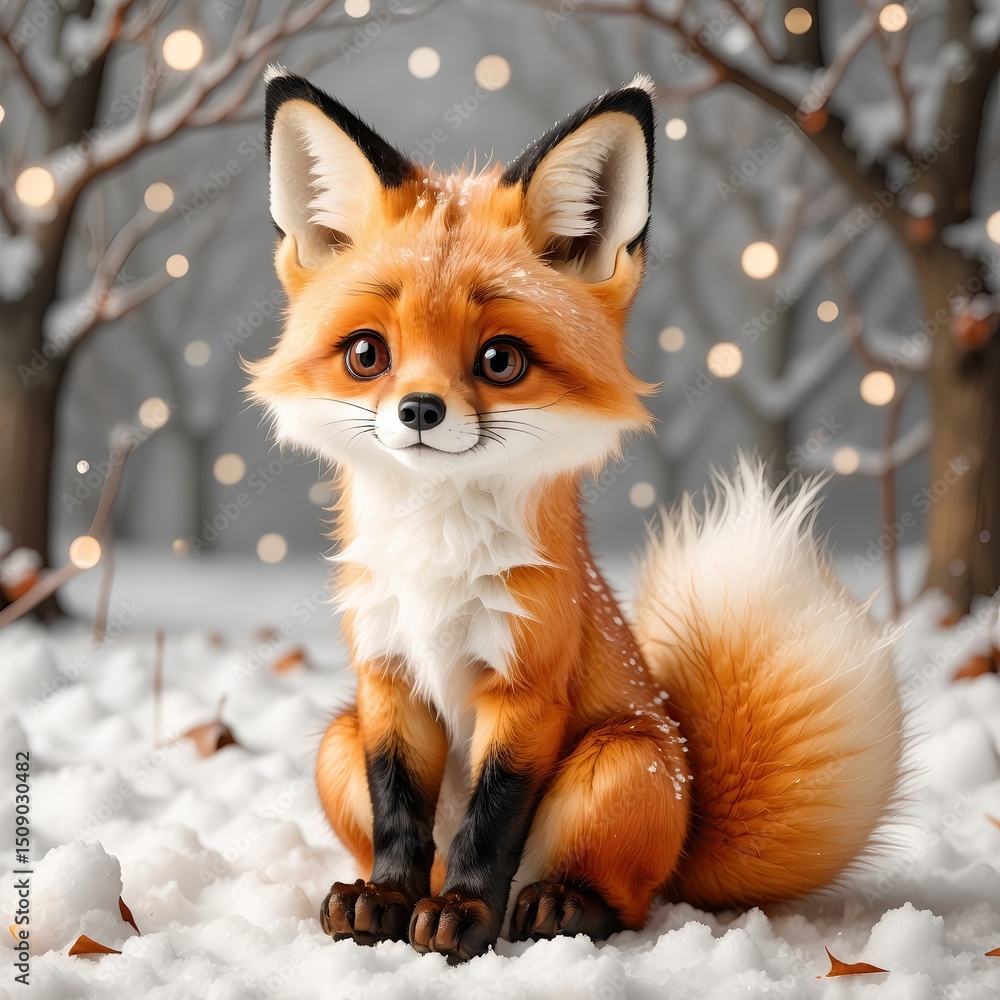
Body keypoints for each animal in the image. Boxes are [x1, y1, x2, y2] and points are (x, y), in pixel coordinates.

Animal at [248, 67, 904, 962]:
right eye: (366, 354)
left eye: (500, 360)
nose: (418, 411)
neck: (434, 566)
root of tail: (686, 826)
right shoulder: (388, 683)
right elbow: (401, 822)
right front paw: (385, 900)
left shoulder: (528, 687)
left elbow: (487, 827)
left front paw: (462, 916)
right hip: (335, 740)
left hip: (619, 761)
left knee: (622, 903)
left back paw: (558, 906)